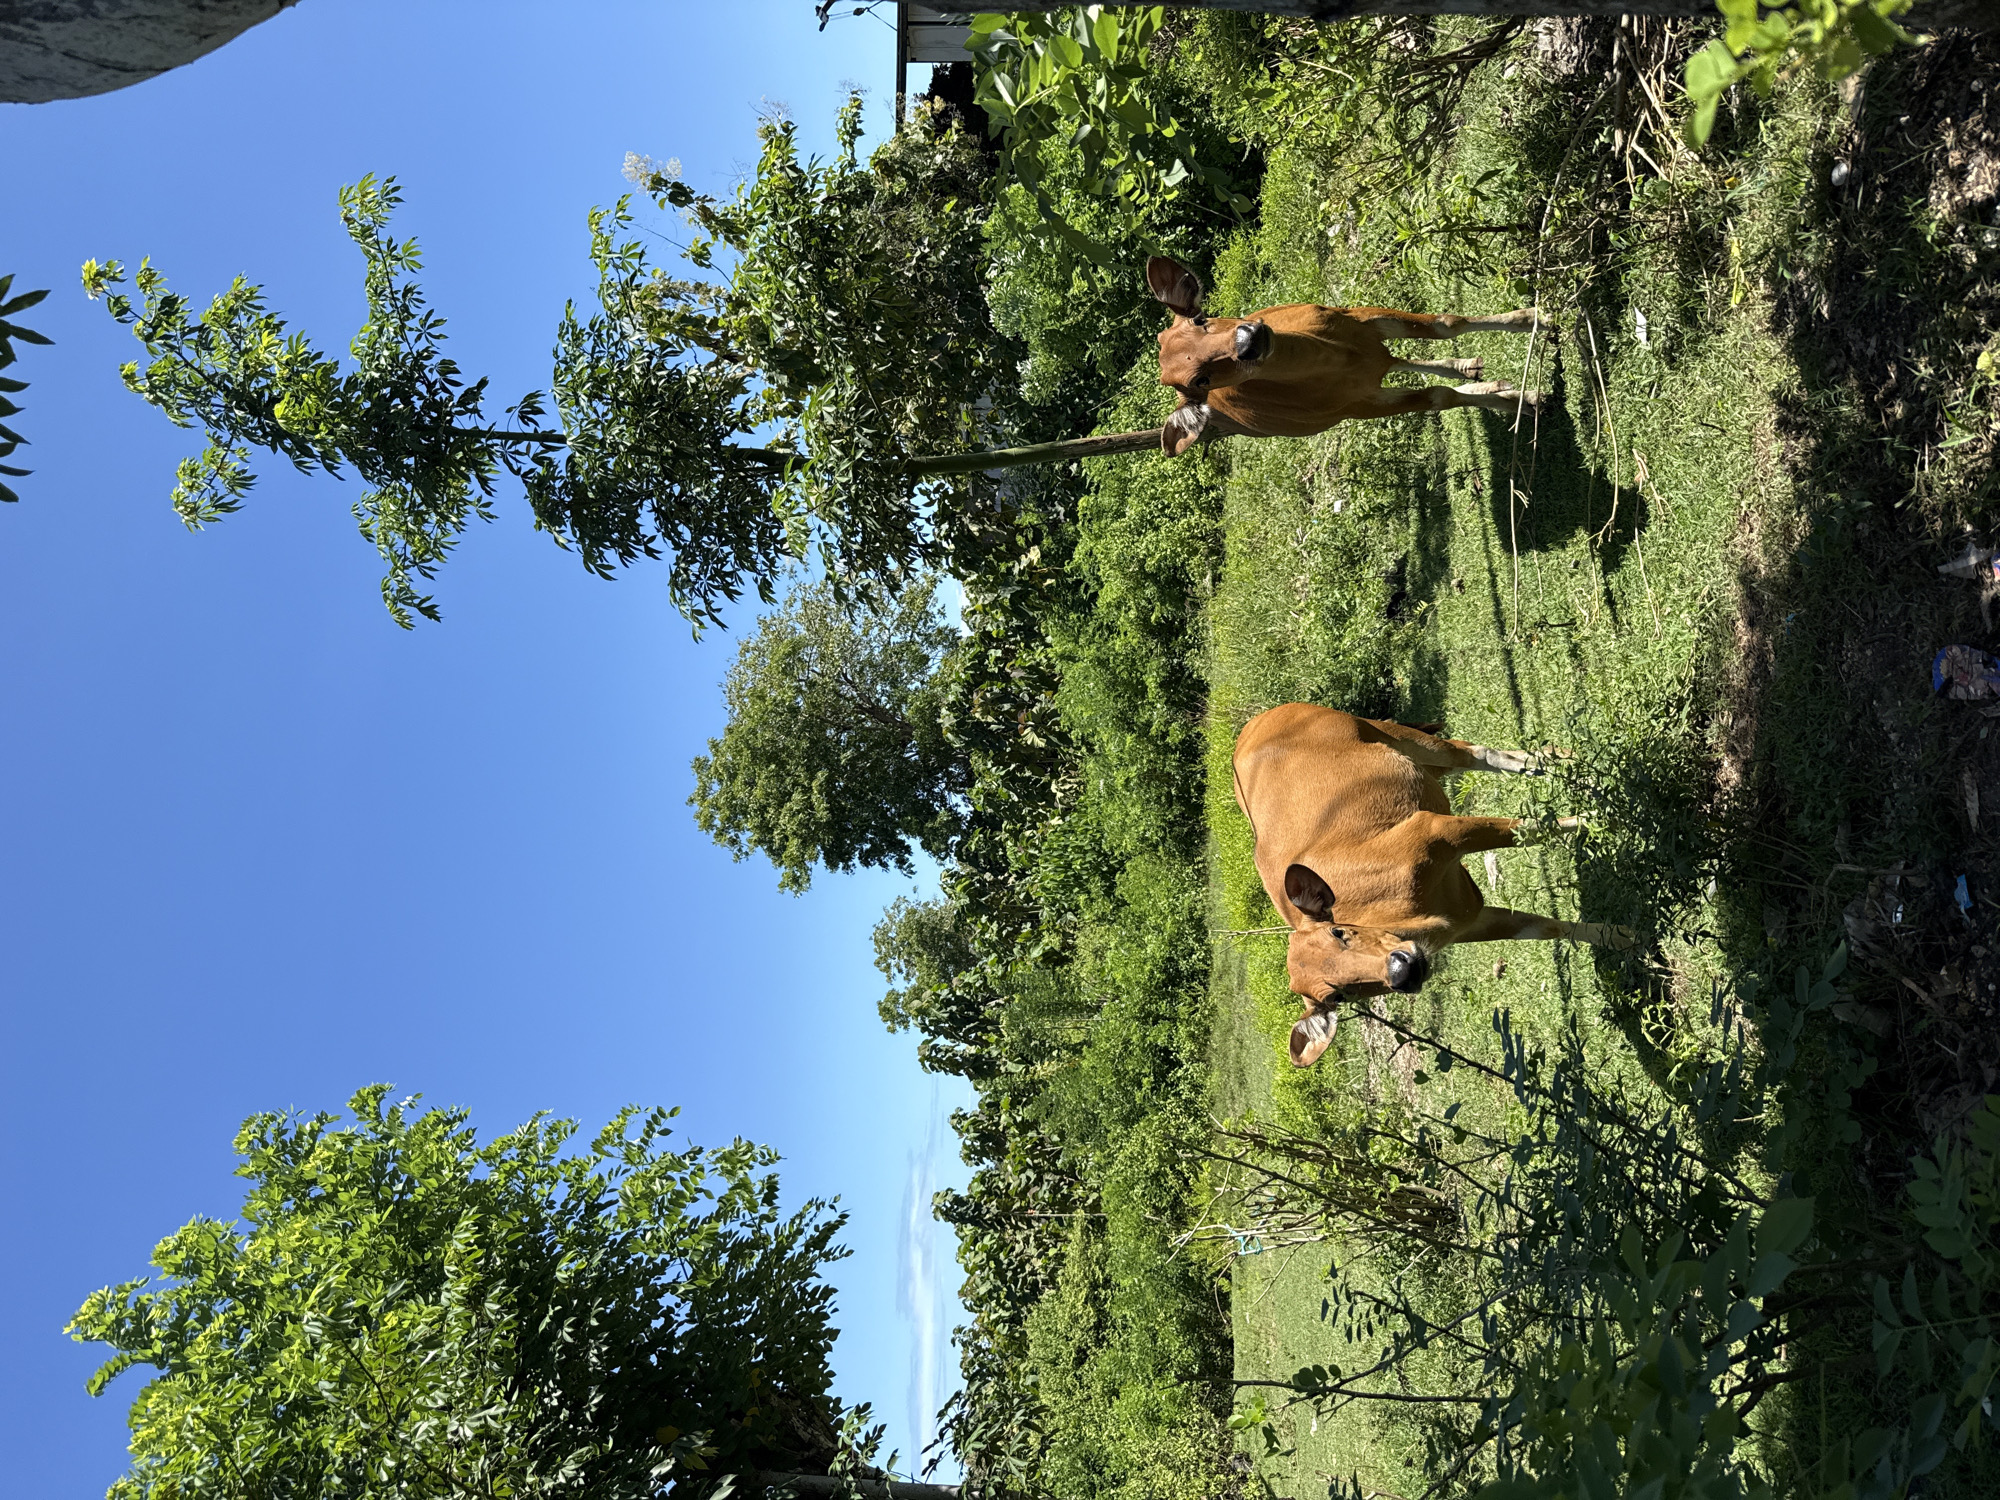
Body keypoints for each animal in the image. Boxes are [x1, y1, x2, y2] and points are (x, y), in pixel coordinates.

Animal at [1148, 256, 1550, 458]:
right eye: (1199, 380)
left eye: (1201, 319)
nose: (1250, 341)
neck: (1338, 359)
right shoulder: (1359, 405)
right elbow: (1440, 397)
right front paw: (1523, 401)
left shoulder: (1360, 317)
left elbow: (1446, 325)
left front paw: (1535, 317)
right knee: (1401, 365)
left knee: (1399, 360)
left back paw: (1473, 369)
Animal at [1231, 703, 1636, 1068]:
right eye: (1338, 997)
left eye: (1339, 932)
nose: (1401, 972)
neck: (1412, 914)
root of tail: (1251, 728)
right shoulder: (1471, 921)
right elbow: (1546, 927)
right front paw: (1624, 937)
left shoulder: (1437, 830)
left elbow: (1529, 828)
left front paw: (1601, 816)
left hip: (1398, 735)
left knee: (1478, 754)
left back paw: (1572, 767)